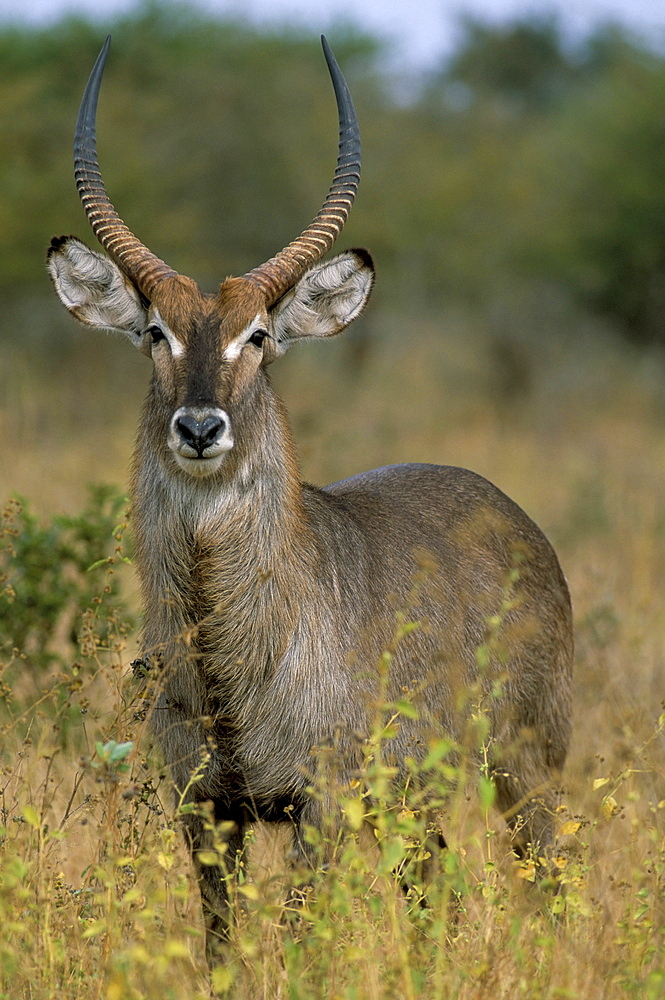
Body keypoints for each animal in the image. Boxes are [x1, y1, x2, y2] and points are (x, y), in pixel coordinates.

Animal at [49, 37, 572, 952]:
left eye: (258, 335)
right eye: (154, 332)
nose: (199, 427)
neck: (234, 660)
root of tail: (515, 516)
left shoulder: (318, 802)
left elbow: (295, 940)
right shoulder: (205, 809)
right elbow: (222, 948)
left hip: (525, 767)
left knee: (550, 881)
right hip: (416, 805)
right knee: (433, 895)